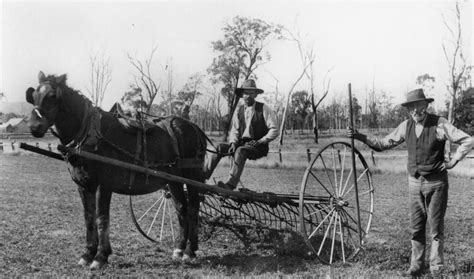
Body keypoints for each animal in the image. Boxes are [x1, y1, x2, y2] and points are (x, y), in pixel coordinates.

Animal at [25, 71, 207, 270]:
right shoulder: (84, 185)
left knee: (193, 208)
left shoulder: (104, 185)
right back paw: (179, 249)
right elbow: (89, 217)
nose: (34, 127)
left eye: (52, 96)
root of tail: (195, 127)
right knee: (181, 208)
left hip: (192, 176)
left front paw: (100, 256)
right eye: (34, 96)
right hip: (173, 180)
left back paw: (190, 251)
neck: (90, 134)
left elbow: (101, 218)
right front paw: (87, 253)